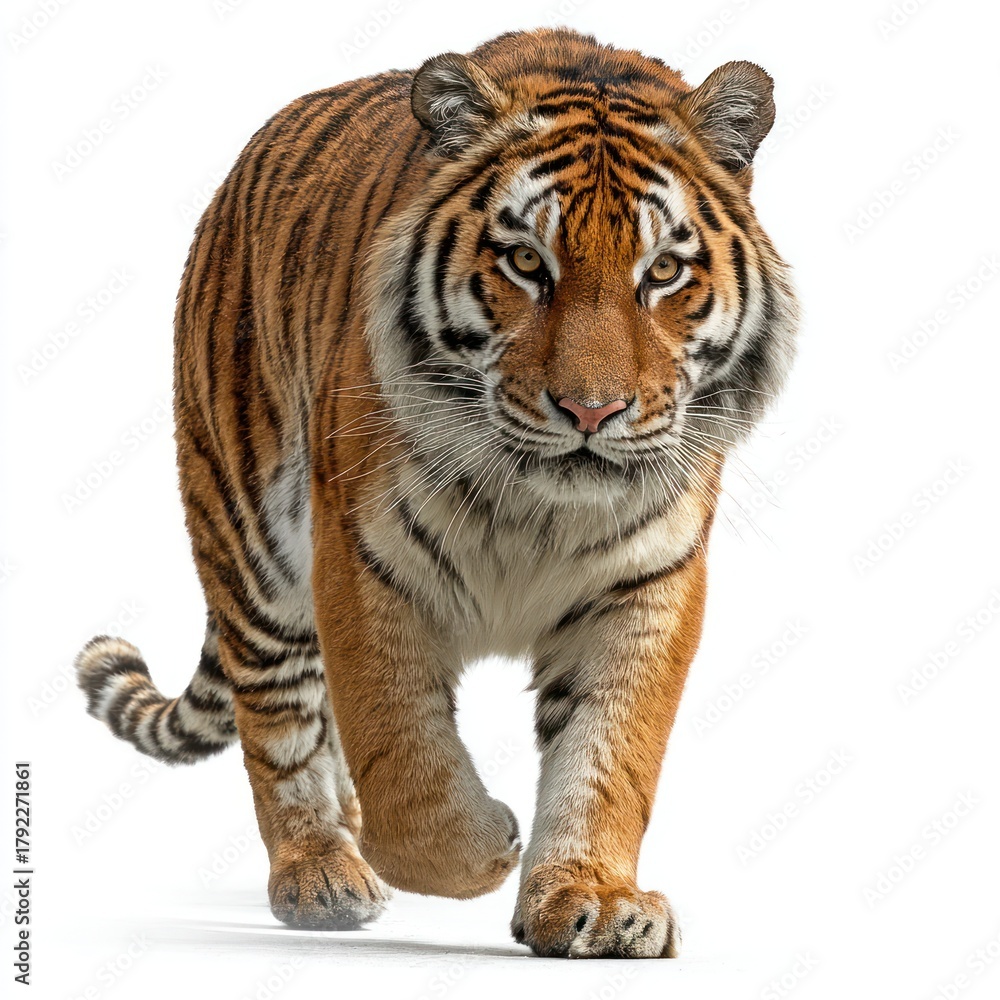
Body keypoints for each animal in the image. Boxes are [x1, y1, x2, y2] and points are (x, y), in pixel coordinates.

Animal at [74, 26, 798, 958]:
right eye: (525, 262)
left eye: (664, 272)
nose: (591, 410)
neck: (540, 511)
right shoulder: (360, 561)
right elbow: (402, 752)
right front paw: (483, 846)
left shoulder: (646, 584)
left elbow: (609, 755)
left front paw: (594, 899)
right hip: (251, 540)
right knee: (280, 719)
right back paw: (321, 872)